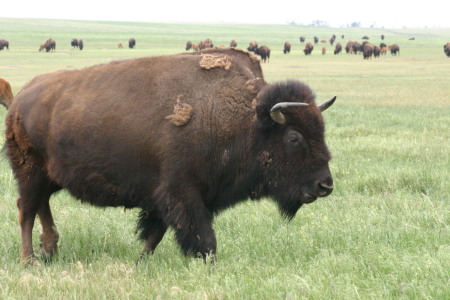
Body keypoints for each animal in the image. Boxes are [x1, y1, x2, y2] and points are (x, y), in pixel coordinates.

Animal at [5, 47, 336, 264]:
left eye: (322, 129)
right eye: (294, 137)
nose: (325, 185)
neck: (243, 120)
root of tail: (20, 98)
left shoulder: (166, 198)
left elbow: (155, 234)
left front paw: (140, 263)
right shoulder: (183, 193)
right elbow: (202, 238)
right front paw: (208, 264)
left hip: (48, 176)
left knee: (40, 205)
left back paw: (50, 251)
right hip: (30, 172)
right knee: (26, 210)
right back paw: (28, 259)